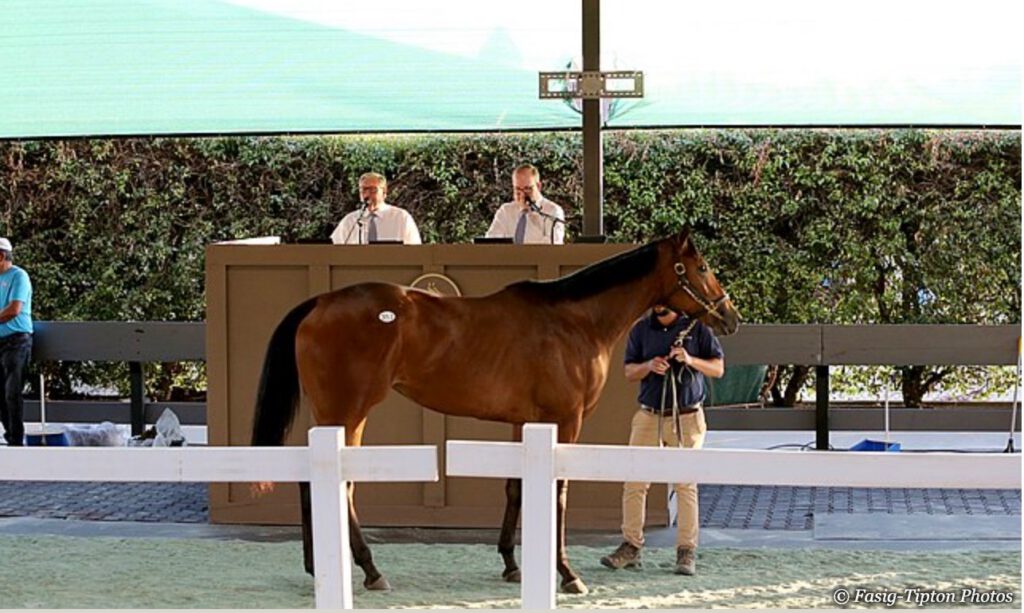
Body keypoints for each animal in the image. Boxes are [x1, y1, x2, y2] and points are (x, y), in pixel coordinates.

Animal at [250, 227, 739, 594]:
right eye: (702, 267)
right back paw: (369, 570)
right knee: (336, 485)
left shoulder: (527, 422)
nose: (730, 316)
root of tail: (319, 303)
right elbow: (558, 494)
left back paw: (326, 568)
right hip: (347, 411)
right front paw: (567, 574)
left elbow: (516, 489)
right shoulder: (565, 421)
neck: (574, 322)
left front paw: (511, 564)